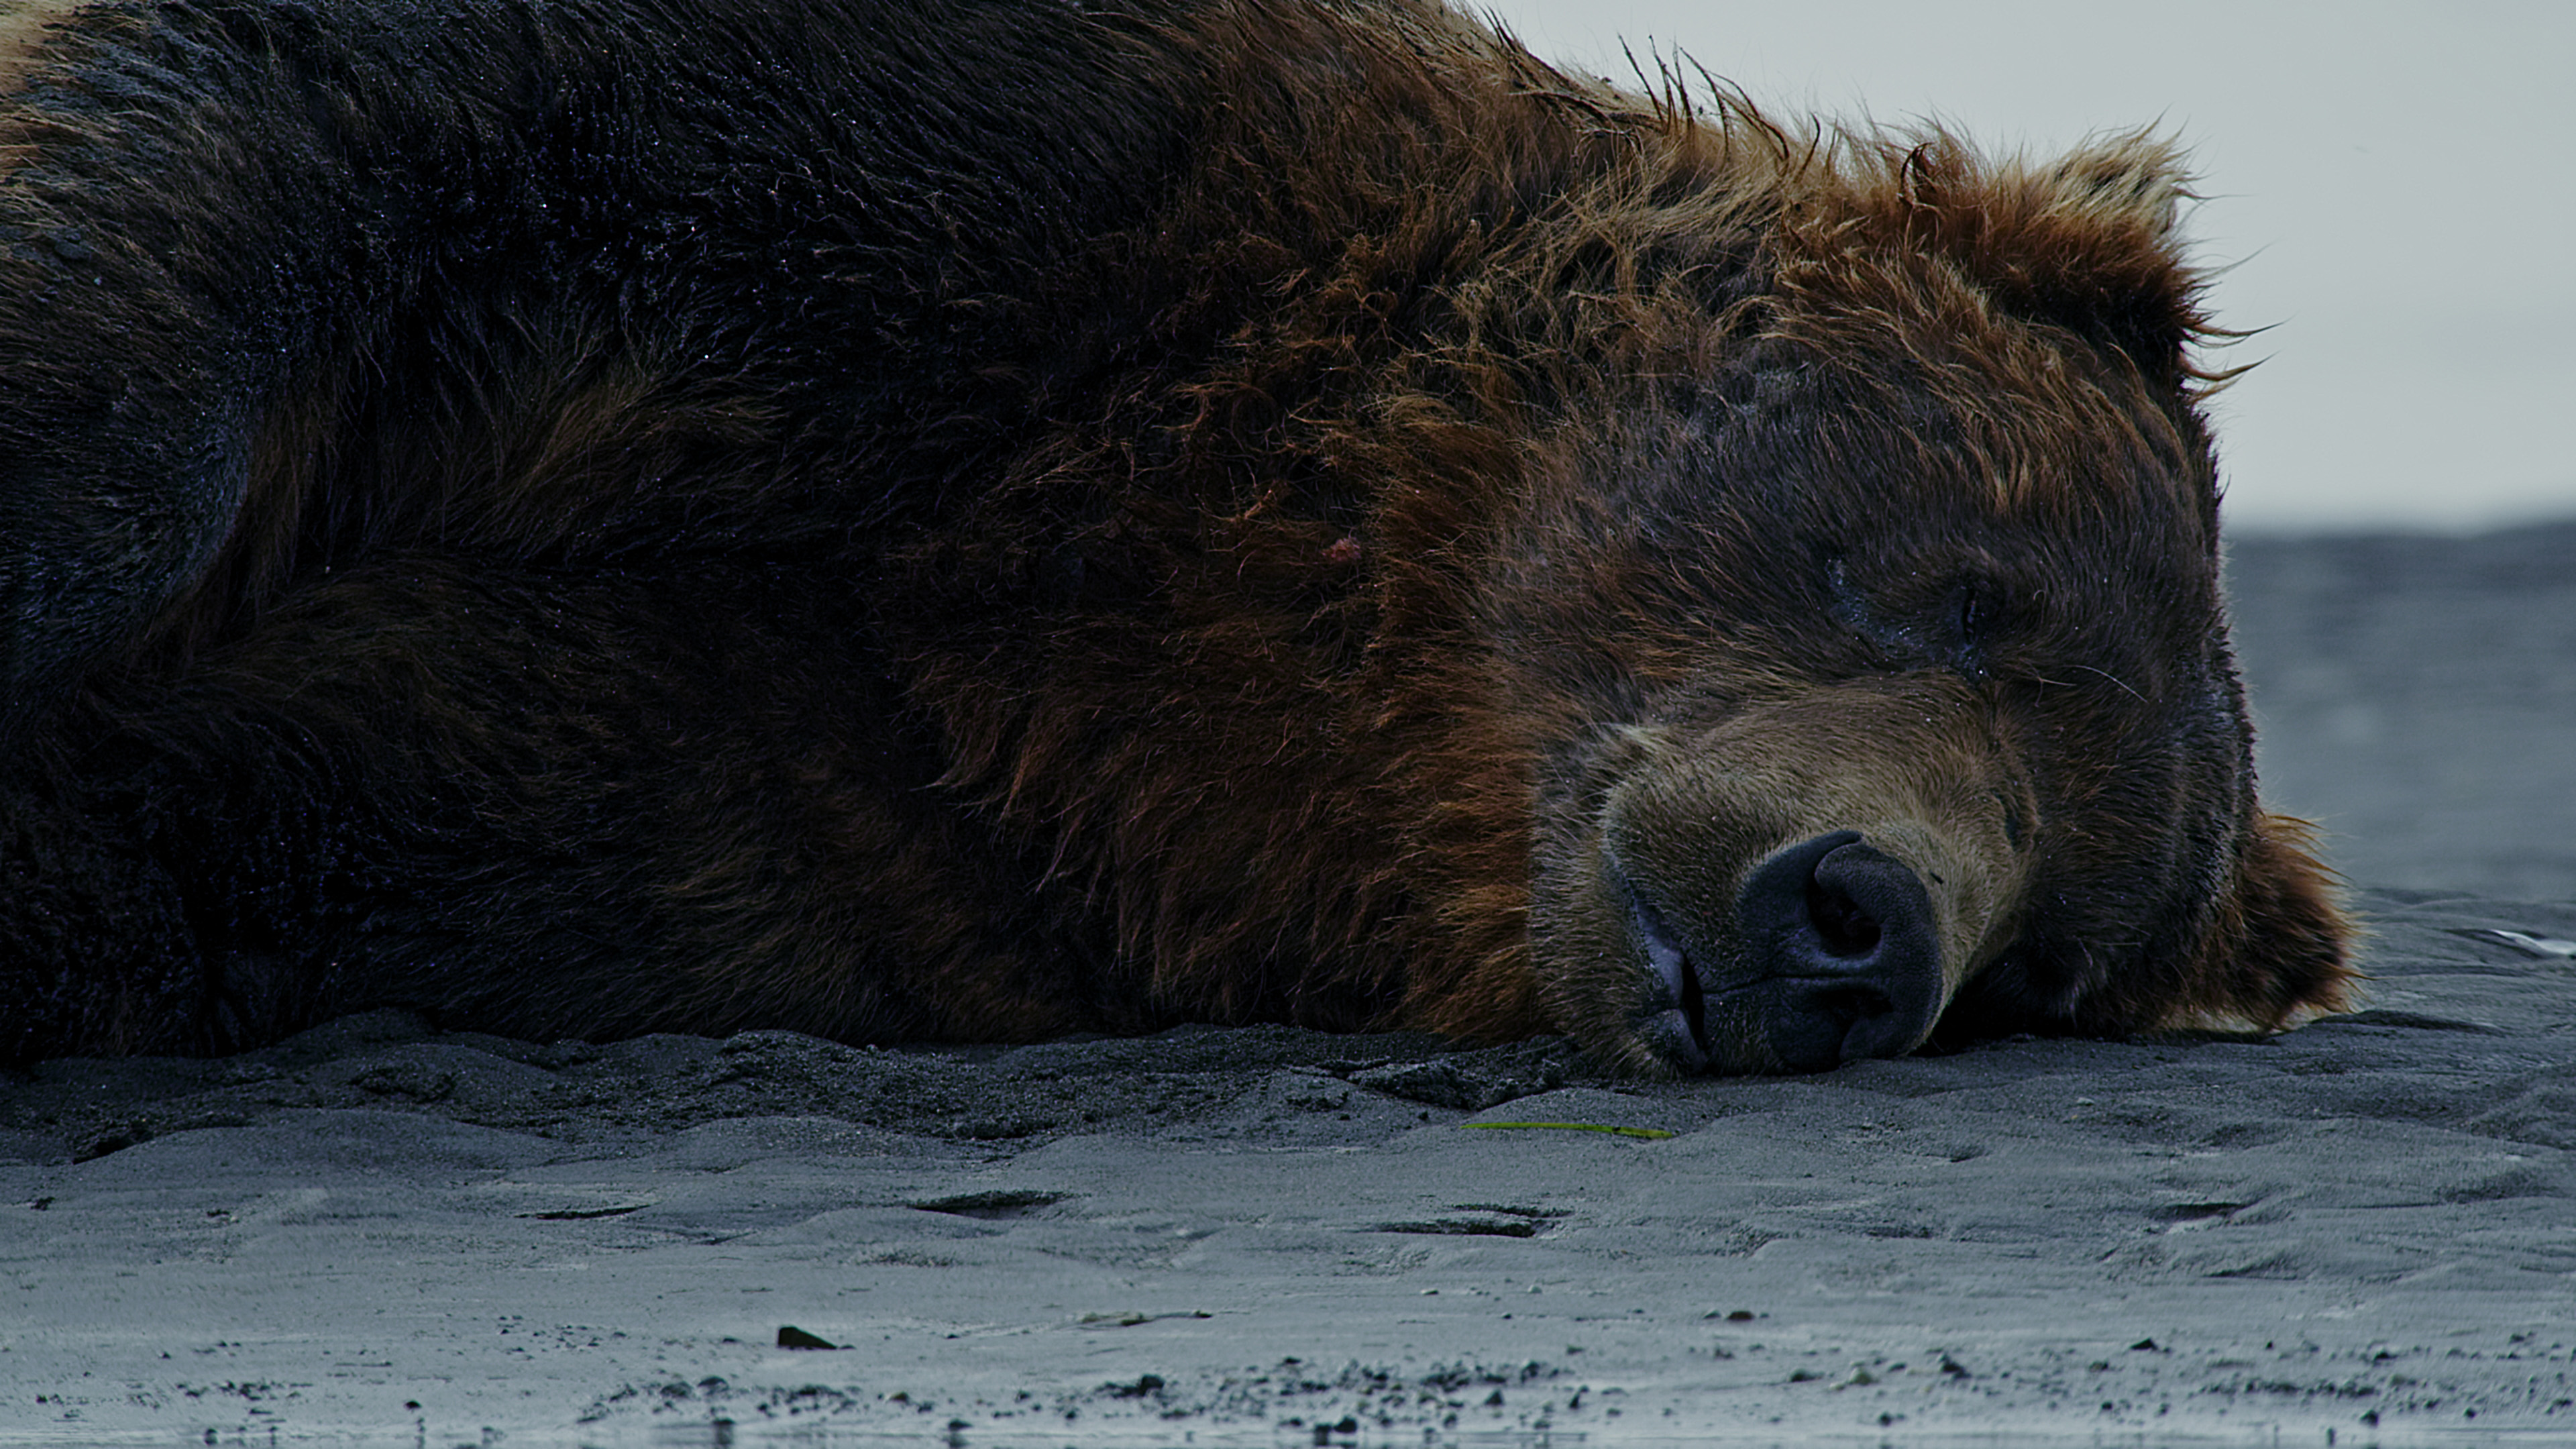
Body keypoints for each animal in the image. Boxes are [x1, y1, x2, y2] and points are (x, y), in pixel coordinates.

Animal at [0, 0, 2352, 1075]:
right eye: (1954, 590)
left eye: (2050, 954)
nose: (1860, 932)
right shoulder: (987, 188)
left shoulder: (780, 803)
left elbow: (212, 834)